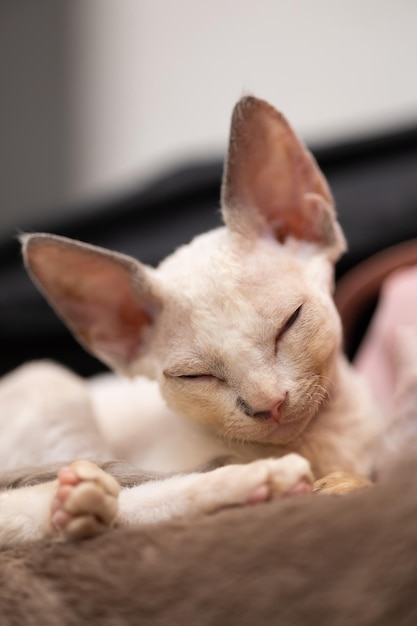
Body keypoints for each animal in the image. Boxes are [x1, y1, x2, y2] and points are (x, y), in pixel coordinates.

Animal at [0, 94, 384, 544]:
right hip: (51, 385)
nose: (269, 405)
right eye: (195, 376)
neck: (325, 444)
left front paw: (344, 483)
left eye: (290, 323)